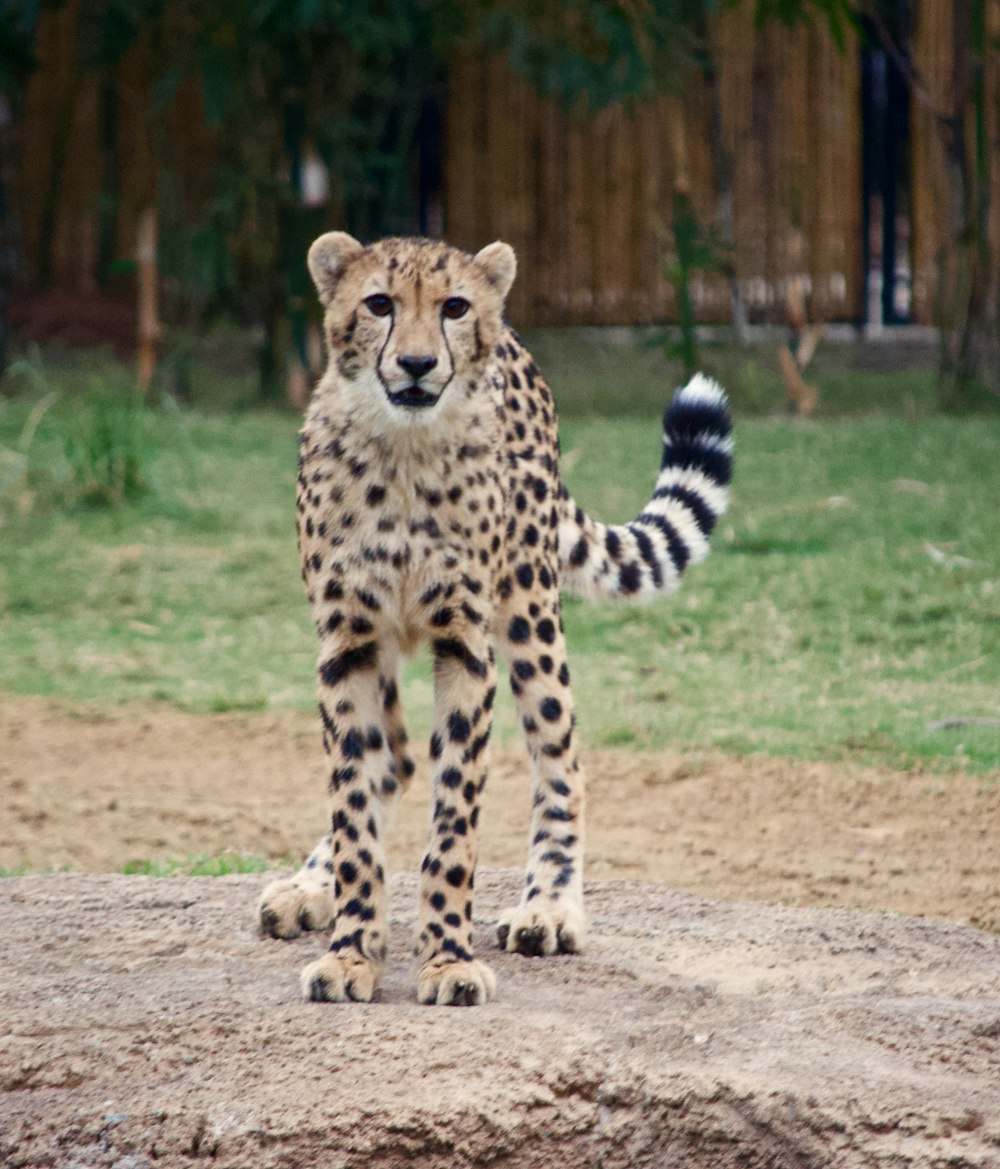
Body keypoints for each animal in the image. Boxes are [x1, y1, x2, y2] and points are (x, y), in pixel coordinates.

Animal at [256, 234, 725, 1005]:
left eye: (453, 307)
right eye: (378, 303)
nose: (418, 364)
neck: (404, 451)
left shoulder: (464, 646)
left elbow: (454, 823)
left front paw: (447, 959)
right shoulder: (347, 640)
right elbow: (354, 801)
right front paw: (352, 950)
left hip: (531, 613)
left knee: (561, 760)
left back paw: (549, 909)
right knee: (393, 758)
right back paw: (309, 886)